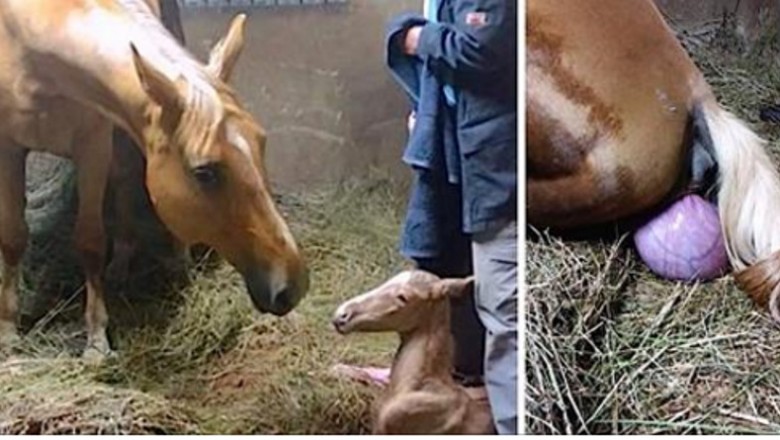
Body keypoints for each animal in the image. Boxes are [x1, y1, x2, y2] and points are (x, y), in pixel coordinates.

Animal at [0, 0, 308, 358]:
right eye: (205, 172)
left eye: (261, 142)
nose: (292, 285)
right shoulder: (9, 147)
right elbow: (13, 237)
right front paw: (8, 334)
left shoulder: (94, 144)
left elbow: (90, 241)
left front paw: (96, 342)